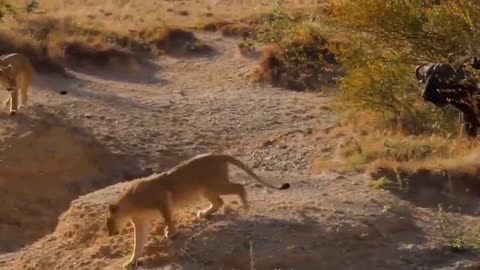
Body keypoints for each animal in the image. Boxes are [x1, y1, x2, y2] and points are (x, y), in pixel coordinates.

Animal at [105, 153, 290, 268]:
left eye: (109, 222)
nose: (111, 233)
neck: (130, 207)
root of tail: (218, 154)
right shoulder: (141, 222)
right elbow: (138, 243)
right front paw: (130, 262)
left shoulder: (163, 197)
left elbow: (168, 218)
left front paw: (170, 232)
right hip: (206, 189)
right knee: (219, 201)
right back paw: (204, 213)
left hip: (214, 184)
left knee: (239, 186)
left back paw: (245, 205)